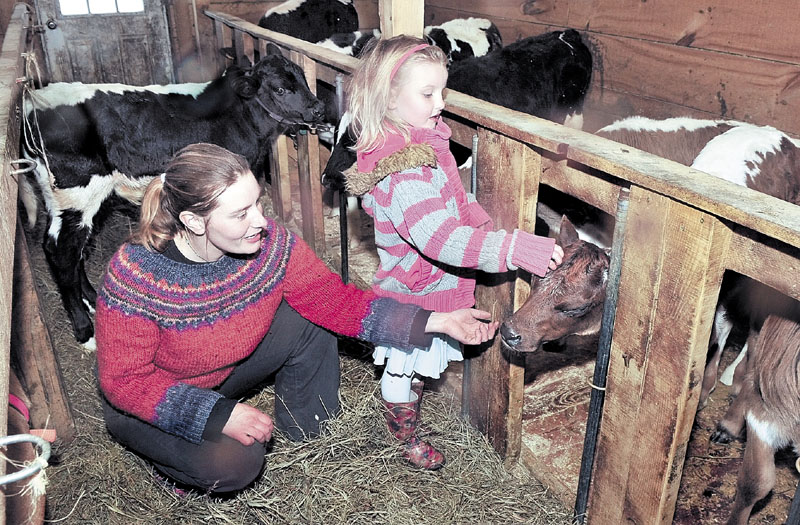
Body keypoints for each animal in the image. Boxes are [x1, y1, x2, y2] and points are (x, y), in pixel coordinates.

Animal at [25, 45, 324, 348]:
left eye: (302, 77)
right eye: (280, 88)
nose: (318, 108)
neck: (239, 116)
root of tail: (34, 102)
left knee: (75, 251)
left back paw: (92, 301)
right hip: (76, 196)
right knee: (62, 253)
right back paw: (85, 331)